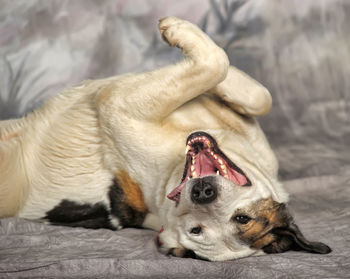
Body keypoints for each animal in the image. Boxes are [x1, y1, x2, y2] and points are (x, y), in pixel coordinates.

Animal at [0, 17, 330, 262]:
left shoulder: (118, 105)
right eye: (243, 218)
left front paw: (177, 31)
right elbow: (258, 94)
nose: (204, 192)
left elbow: (215, 63)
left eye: (196, 231)